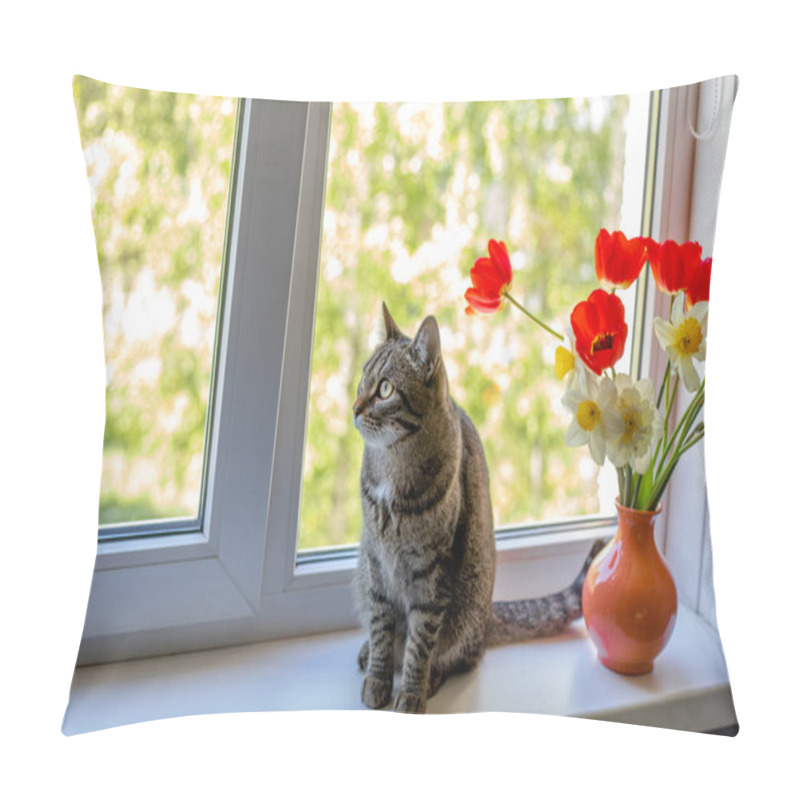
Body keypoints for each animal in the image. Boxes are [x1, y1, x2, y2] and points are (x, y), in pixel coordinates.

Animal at [354, 304, 604, 712]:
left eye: (385, 388)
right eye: (362, 381)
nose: (355, 407)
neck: (392, 464)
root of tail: (487, 619)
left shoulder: (433, 575)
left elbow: (420, 644)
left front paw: (411, 691)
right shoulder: (375, 564)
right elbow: (380, 626)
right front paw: (378, 675)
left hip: (465, 612)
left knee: (459, 656)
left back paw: (432, 677)